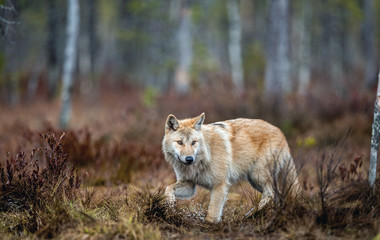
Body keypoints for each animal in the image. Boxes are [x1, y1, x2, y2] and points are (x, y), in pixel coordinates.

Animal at [162, 113, 298, 222]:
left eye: (193, 142)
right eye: (180, 142)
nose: (189, 159)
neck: (206, 154)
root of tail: (282, 134)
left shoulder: (220, 185)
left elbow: (212, 213)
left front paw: (210, 226)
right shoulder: (190, 186)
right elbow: (168, 188)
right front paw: (170, 204)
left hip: (257, 175)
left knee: (272, 193)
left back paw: (250, 215)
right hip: (254, 181)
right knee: (277, 194)